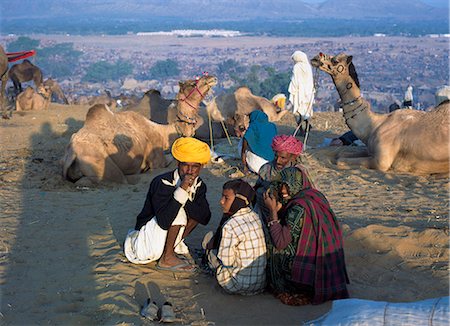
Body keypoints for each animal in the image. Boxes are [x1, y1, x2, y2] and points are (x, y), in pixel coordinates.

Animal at [312, 52, 448, 176]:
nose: (315, 58)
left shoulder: (381, 162)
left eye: (335, 61)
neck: (374, 124)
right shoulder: (370, 151)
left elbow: (340, 160)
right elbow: (342, 153)